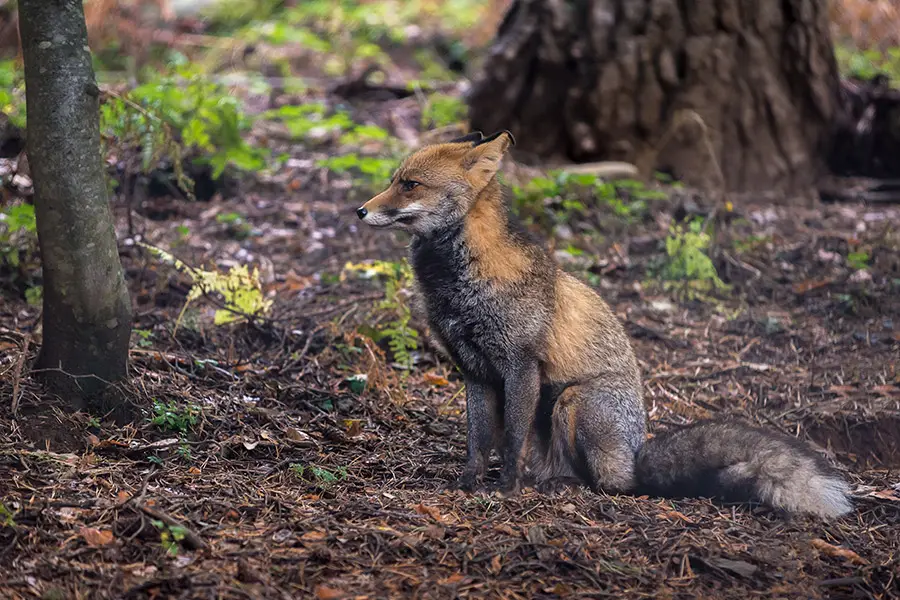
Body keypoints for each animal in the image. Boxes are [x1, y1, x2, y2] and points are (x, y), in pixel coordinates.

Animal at [354, 129, 852, 516]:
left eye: (410, 185)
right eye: (393, 180)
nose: (359, 211)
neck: (460, 284)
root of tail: (636, 453)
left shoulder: (520, 366)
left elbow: (511, 439)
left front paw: (507, 488)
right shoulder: (475, 371)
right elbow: (478, 441)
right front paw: (468, 484)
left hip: (572, 401)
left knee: (612, 484)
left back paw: (567, 485)